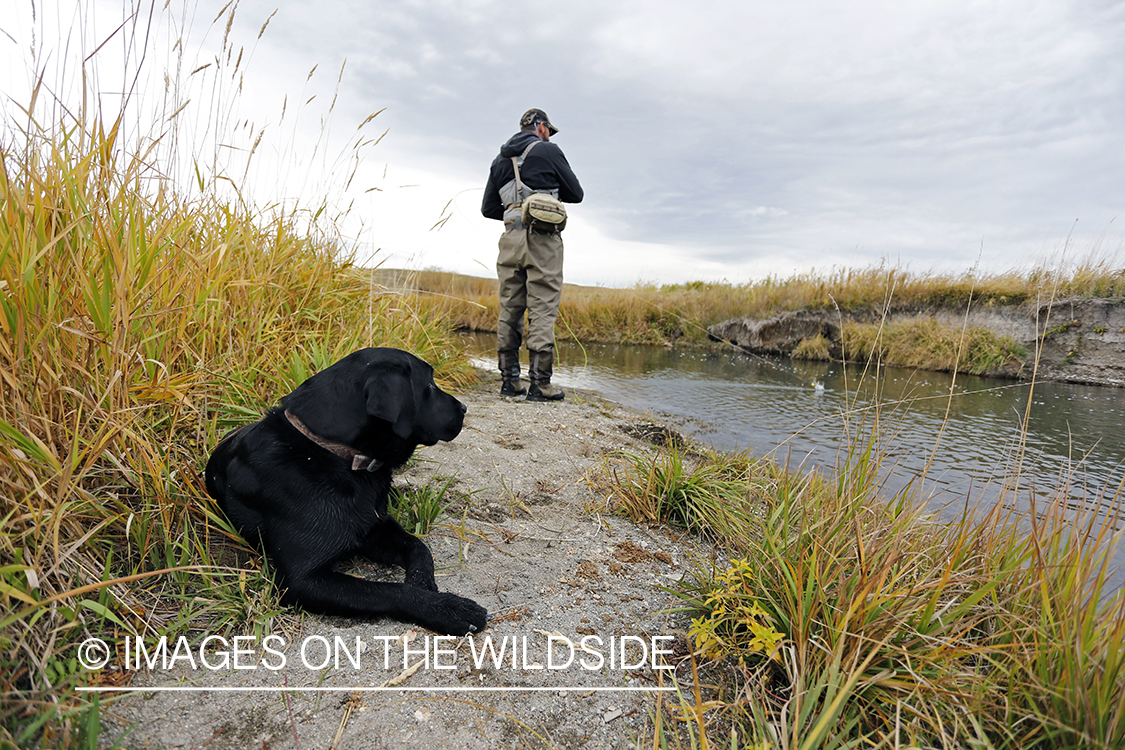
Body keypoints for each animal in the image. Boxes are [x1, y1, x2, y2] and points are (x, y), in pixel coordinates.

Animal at [204, 346, 486, 634]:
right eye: (428, 385)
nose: (464, 408)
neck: (335, 454)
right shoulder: (301, 580)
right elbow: (389, 590)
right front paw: (449, 608)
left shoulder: (374, 527)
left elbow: (419, 547)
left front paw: (424, 584)